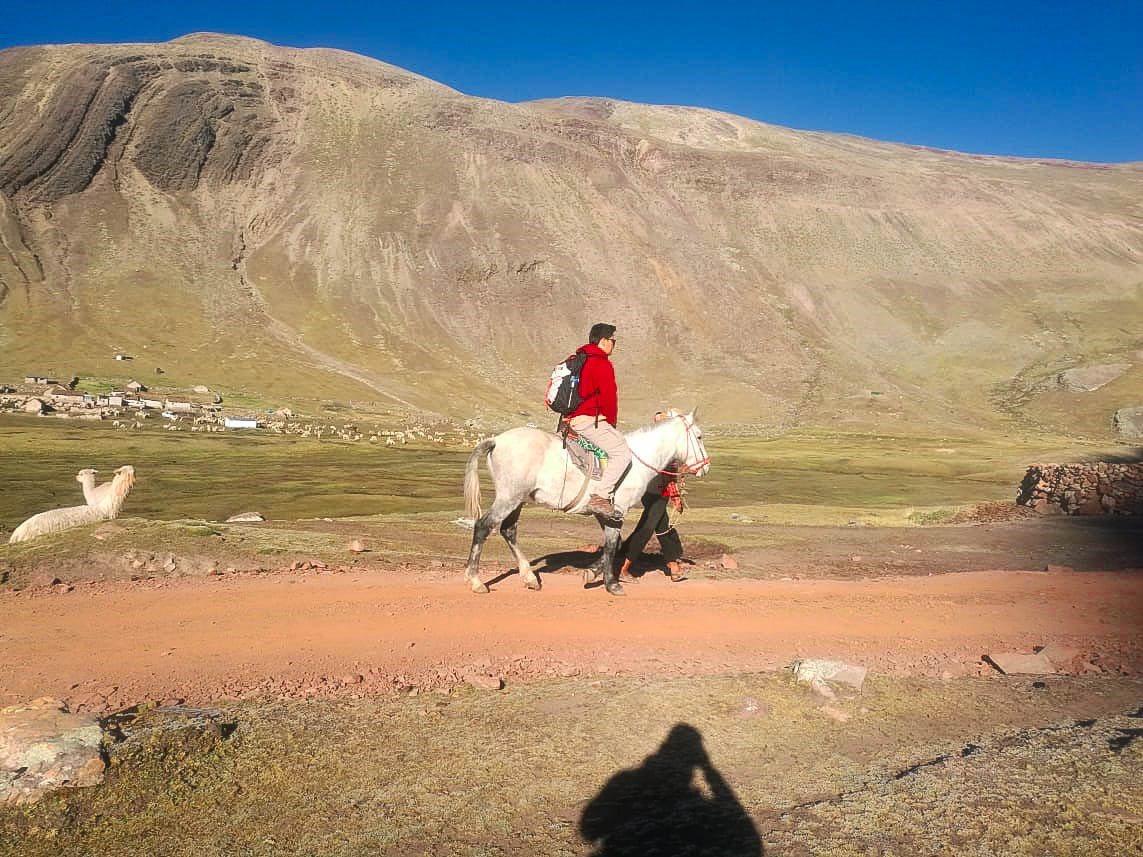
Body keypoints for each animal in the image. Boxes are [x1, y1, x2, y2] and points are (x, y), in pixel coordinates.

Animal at [461, 411, 708, 598]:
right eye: (699, 436)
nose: (705, 467)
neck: (636, 462)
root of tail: (497, 440)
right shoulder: (618, 511)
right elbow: (612, 545)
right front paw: (611, 584)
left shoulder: (605, 513)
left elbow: (614, 544)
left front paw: (593, 574)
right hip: (508, 497)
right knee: (483, 526)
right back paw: (476, 581)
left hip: (518, 499)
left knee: (508, 530)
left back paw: (530, 578)